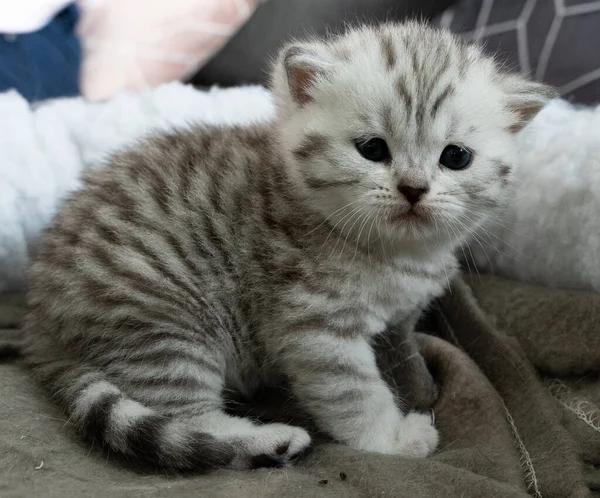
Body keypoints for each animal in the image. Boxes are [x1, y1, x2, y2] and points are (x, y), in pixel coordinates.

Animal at [19, 22, 552, 470]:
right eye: (372, 149)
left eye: (455, 157)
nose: (414, 188)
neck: (397, 256)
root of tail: (37, 315)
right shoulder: (311, 323)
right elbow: (353, 393)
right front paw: (390, 439)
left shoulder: (401, 316)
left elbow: (402, 350)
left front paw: (419, 385)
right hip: (163, 323)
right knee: (188, 419)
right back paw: (267, 439)